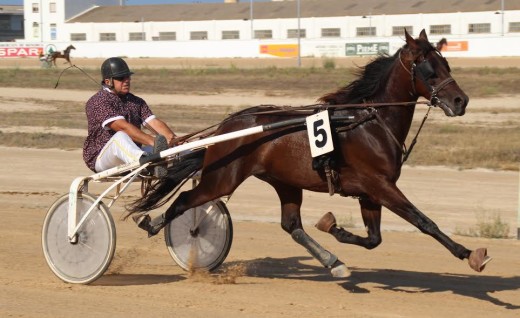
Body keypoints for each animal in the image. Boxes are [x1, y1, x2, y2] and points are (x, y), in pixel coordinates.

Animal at [130, 29, 492, 278]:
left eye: (446, 62)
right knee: (182, 202)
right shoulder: (381, 186)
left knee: (292, 226)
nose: (461, 101)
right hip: (222, 179)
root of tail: (227, 126)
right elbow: (424, 221)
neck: (369, 122)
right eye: (429, 69)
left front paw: (333, 227)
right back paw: (153, 223)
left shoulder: (370, 193)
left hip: (286, 182)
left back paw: (334, 263)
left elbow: (373, 239)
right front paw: (469, 254)